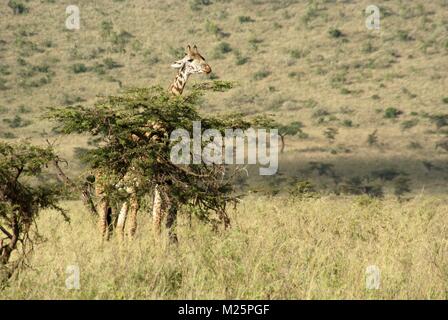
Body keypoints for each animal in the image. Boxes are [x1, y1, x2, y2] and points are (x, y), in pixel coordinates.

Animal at [95, 44, 212, 240]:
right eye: (189, 59)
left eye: (202, 57)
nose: (208, 68)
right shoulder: (136, 185)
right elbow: (134, 226)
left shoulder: (155, 182)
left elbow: (155, 220)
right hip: (103, 191)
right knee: (103, 223)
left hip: (120, 192)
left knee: (116, 226)